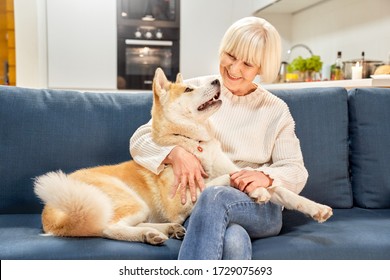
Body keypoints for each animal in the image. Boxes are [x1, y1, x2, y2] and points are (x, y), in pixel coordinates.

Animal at [34, 68, 332, 245]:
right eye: (188, 89)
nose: (217, 80)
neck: (194, 142)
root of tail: (51, 214)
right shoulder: (181, 199)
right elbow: (223, 179)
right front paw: (255, 190)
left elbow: (282, 189)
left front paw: (315, 208)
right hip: (127, 200)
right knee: (108, 228)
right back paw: (150, 234)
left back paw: (165, 230)